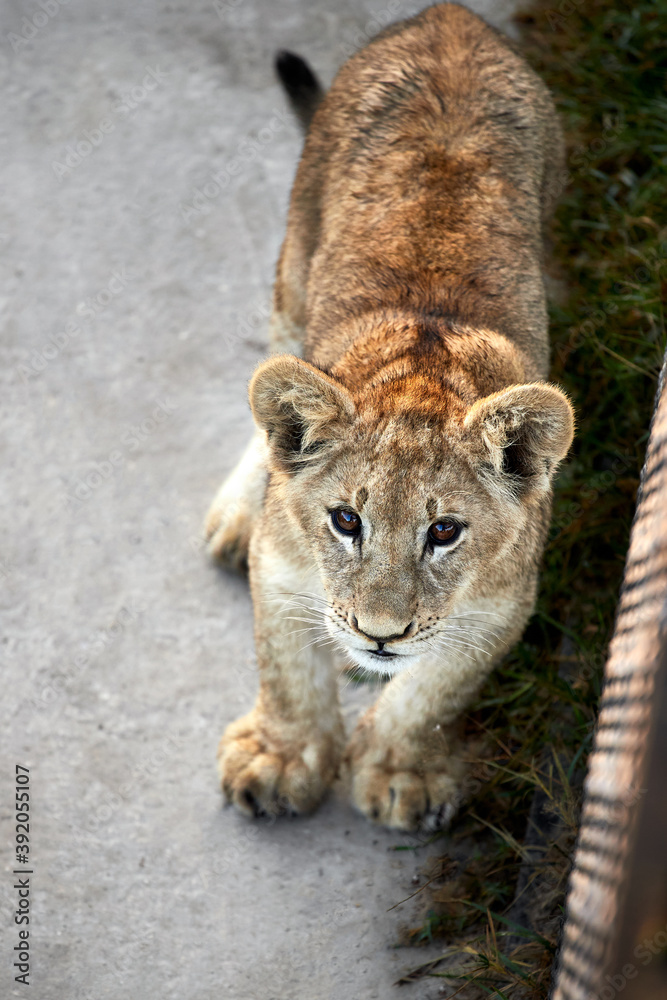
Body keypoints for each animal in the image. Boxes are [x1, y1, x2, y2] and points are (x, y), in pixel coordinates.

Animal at [205, 2, 574, 831]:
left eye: (444, 532)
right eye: (346, 521)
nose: (379, 636)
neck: (422, 380)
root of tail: (449, 19)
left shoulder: (504, 604)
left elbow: (434, 690)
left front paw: (402, 771)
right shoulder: (281, 564)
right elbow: (286, 667)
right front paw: (279, 760)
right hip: (295, 255)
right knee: (270, 381)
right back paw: (239, 506)